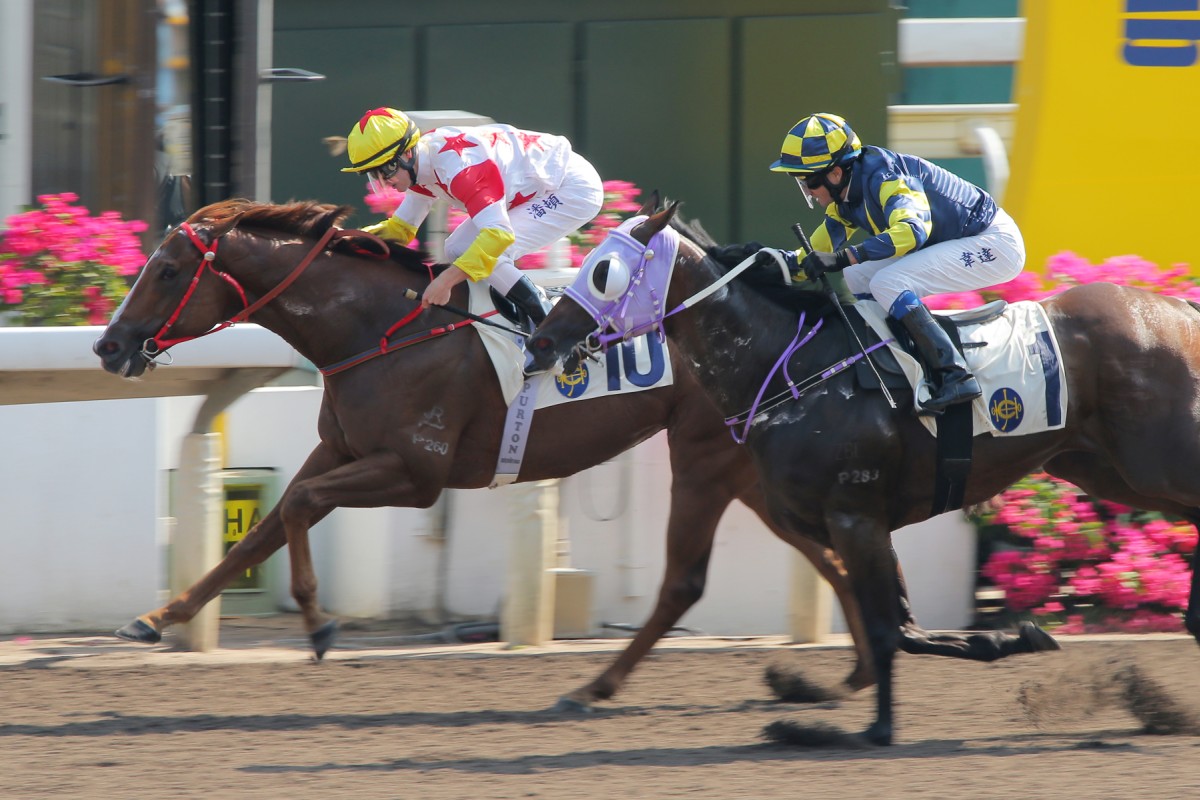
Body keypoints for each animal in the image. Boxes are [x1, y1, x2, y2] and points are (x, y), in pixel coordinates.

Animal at [93, 199, 883, 705]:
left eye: (167, 271)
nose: (109, 346)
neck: (380, 328)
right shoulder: (339, 449)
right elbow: (265, 527)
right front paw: (158, 617)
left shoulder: (415, 472)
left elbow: (299, 508)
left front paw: (319, 626)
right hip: (747, 470)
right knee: (828, 555)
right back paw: (861, 670)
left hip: (711, 460)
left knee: (796, 556)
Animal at [523, 201, 1200, 743]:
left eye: (603, 271)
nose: (539, 342)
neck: (790, 367)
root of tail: (1178, 311)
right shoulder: (838, 522)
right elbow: (900, 626)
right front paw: (1012, 639)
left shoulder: (855, 517)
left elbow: (886, 629)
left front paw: (875, 729)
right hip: (1104, 470)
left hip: (1154, 465)